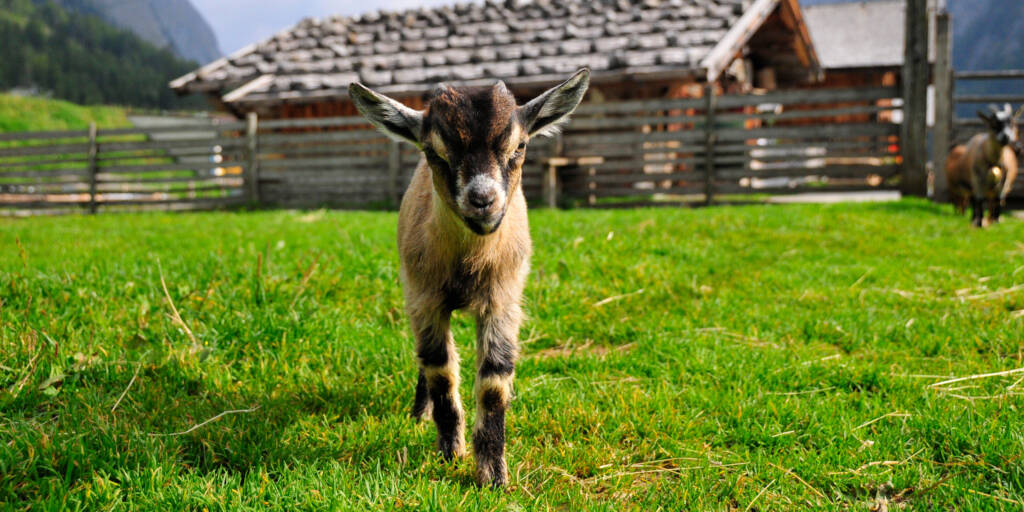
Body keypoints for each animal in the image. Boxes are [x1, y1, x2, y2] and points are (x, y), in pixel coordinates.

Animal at [350, 69, 589, 487]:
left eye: (519, 145)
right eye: (434, 152)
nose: (483, 200)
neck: (467, 266)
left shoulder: (503, 301)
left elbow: (494, 381)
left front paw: (493, 475)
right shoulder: (425, 299)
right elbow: (440, 371)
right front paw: (450, 453)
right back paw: (421, 412)